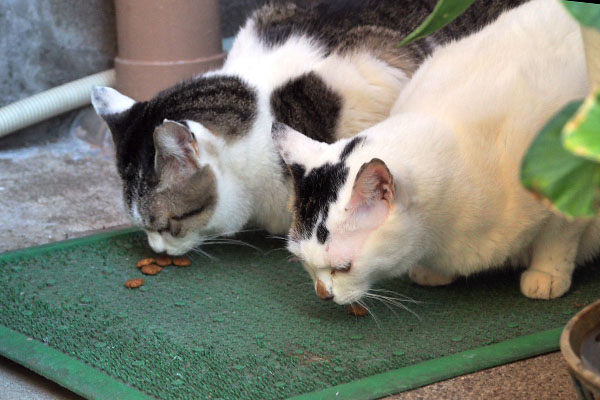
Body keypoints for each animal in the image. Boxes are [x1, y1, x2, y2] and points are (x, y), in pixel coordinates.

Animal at [274, 0, 596, 304]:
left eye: (342, 268)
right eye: (304, 263)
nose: (322, 294)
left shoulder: (566, 177)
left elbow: (557, 238)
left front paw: (546, 274)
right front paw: (433, 272)